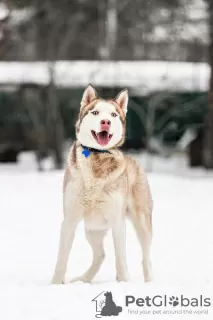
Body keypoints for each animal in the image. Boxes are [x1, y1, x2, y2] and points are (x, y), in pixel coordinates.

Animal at [52, 85, 154, 284]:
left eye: (113, 115)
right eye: (95, 112)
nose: (105, 122)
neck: (97, 157)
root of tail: (134, 162)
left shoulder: (117, 222)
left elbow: (121, 259)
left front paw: (124, 282)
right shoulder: (69, 220)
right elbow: (61, 258)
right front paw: (55, 284)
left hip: (142, 224)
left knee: (146, 257)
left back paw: (149, 282)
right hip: (92, 228)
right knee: (101, 255)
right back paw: (84, 279)